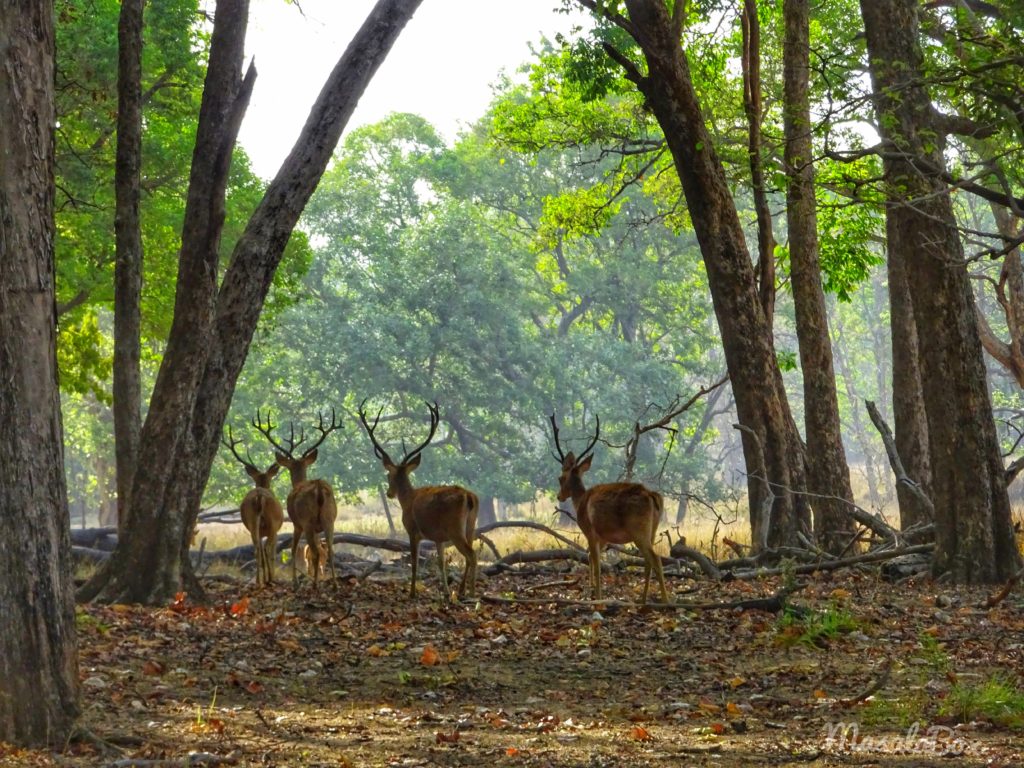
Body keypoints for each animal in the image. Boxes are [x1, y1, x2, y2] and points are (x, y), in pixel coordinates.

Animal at [222, 426, 284, 587]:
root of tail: (260, 496)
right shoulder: (275, 530)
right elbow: (271, 552)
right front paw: (271, 577)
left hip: (251, 523)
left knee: (257, 549)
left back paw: (258, 581)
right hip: (273, 524)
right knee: (267, 549)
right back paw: (270, 579)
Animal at [254, 409, 340, 588]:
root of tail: (318, 488)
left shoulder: (296, 523)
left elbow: (294, 550)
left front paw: (295, 581)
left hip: (307, 521)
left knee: (315, 551)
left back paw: (314, 584)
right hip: (329, 518)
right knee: (330, 550)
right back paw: (335, 584)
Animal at [358, 400, 478, 601]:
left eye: (388, 475)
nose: (389, 493)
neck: (407, 500)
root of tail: (469, 497)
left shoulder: (412, 530)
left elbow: (414, 562)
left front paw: (412, 592)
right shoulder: (438, 538)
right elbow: (441, 562)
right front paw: (446, 592)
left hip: (455, 529)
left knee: (472, 555)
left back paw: (470, 592)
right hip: (471, 526)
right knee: (470, 554)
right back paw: (461, 591)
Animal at [549, 413, 671, 604]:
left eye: (560, 478)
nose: (559, 496)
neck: (580, 501)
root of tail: (652, 495)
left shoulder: (590, 531)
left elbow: (596, 563)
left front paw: (597, 597)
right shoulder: (603, 538)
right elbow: (590, 558)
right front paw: (591, 590)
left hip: (638, 529)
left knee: (655, 559)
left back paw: (665, 601)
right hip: (652, 529)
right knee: (648, 562)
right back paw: (643, 599)